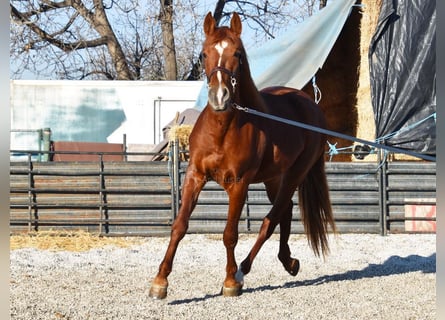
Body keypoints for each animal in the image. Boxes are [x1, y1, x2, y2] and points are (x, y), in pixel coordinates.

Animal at [148, 11, 332, 298]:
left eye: (238, 54)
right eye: (203, 53)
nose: (219, 96)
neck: (222, 130)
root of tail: (310, 106)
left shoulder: (238, 184)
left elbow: (230, 234)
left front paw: (229, 282)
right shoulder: (194, 176)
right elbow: (179, 226)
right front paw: (160, 282)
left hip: (294, 175)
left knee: (271, 220)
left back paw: (243, 271)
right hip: (273, 178)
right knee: (285, 211)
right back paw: (288, 262)